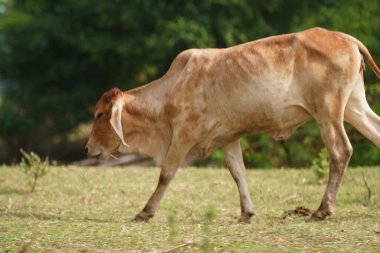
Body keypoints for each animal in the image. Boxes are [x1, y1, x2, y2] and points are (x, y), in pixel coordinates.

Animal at [85, 26, 380, 222]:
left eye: (99, 114)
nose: (87, 149)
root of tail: (342, 36)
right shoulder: (228, 137)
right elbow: (238, 171)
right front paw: (246, 212)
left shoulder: (183, 135)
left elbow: (166, 173)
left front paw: (145, 212)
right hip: (353, 106)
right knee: (375, 132)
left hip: (328, 111)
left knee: (340, 151)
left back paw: (322, 209)